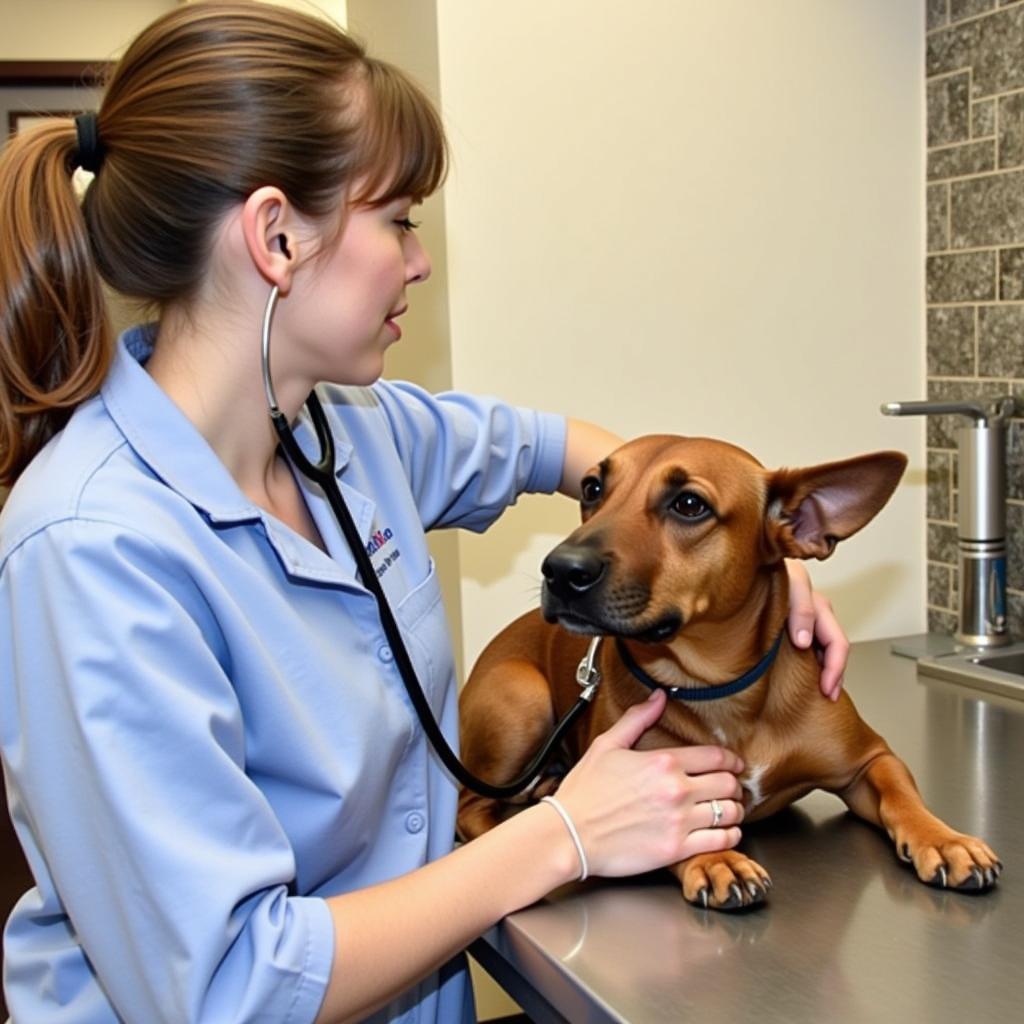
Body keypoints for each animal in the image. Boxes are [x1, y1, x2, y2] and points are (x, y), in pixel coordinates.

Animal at [456, 436, 999, 909]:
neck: (715, 687)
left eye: (689, 504)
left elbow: (900, 795)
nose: (560, 570)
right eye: (592, 488)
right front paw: (717, 858)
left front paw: (944, 839)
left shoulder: (870, 760)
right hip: (521, 698)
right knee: (468, 810)